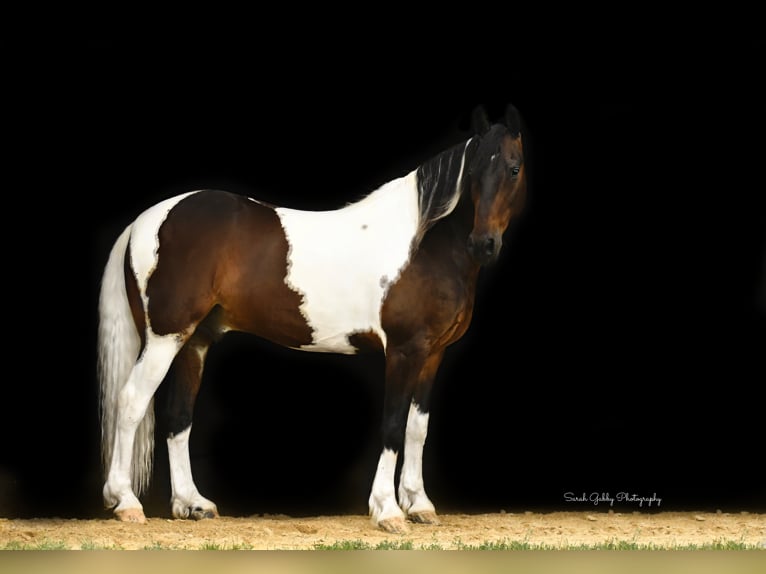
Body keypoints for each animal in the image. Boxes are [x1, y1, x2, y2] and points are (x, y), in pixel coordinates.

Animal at [97, 104, 528, 536]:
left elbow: (416, 428)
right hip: (164, 338)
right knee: (132, 402)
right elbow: (392, 426)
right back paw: (126, 502)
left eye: (513, 169)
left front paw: (419, 504)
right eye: (473, 172)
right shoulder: (404, 351)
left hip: (193, 341)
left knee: (178, 416)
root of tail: (144, 221)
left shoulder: (432, 354)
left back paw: (192, 503)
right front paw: (388, 510)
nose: (483, 244)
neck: (421, 244)